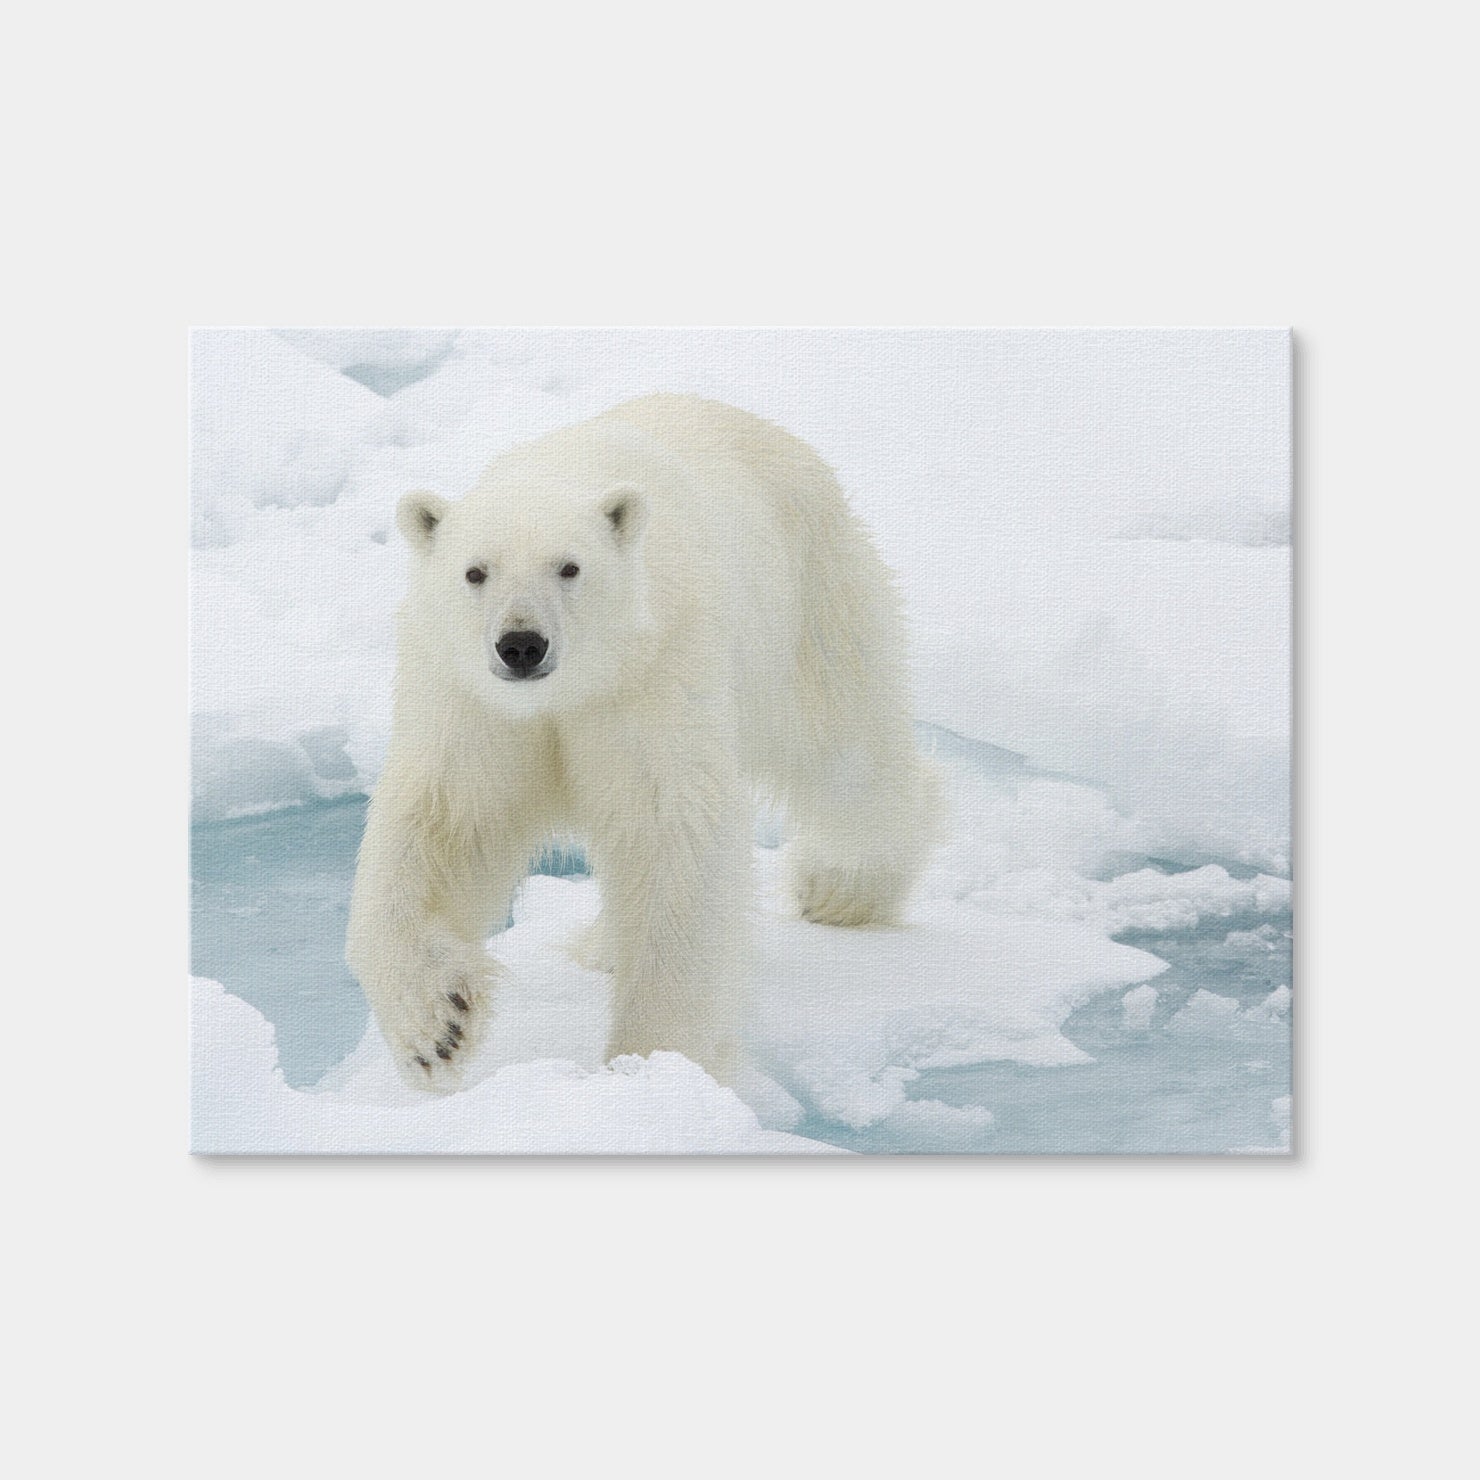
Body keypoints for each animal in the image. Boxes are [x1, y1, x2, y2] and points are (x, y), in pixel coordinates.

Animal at [346, 394, 938, 1090]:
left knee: (843, 748)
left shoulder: (652, 674)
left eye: (570, 566)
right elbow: (444, 824)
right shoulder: (473, 704)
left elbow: (668, 834)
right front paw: (438, 1026)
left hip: (807, 598)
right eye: (474, 572)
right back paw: (603, 944)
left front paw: (654, 1060)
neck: (570, 690)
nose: (521, 644)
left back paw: (841, 889)